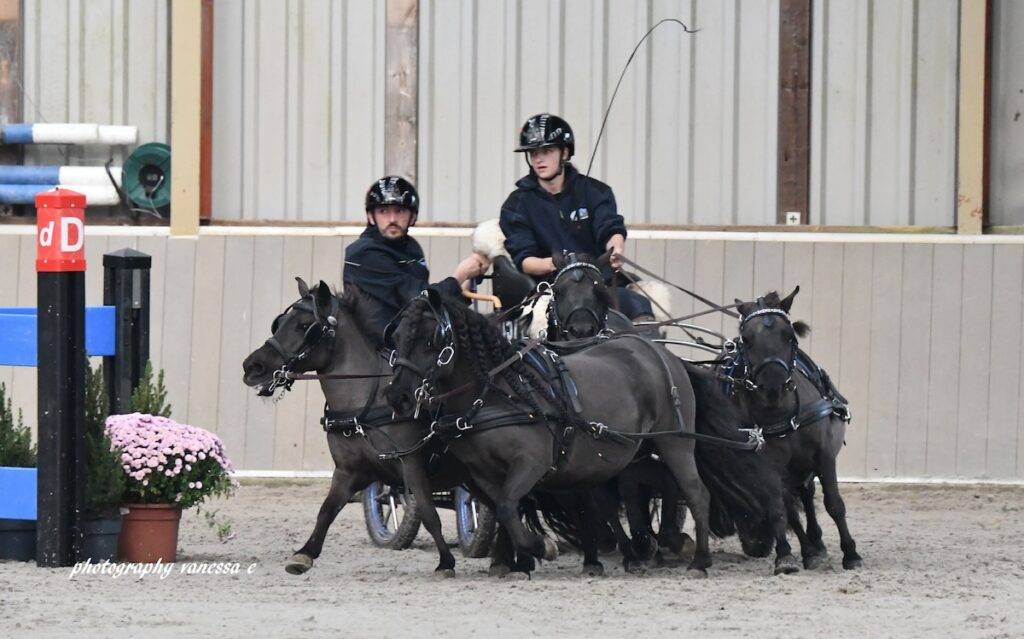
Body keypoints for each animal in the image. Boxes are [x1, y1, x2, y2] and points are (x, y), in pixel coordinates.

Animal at [724, 288, 862, 570]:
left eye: (788, 335)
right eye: (747, 339)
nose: (773, 387)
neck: (783, 413)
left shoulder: (824, 456)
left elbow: (834, 504)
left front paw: (851, 554)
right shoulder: (768, 465)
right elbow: (779, 509)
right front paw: (785, 556)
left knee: (808, 496)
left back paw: (817, 546)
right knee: (794, 504)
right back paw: (810, 549)